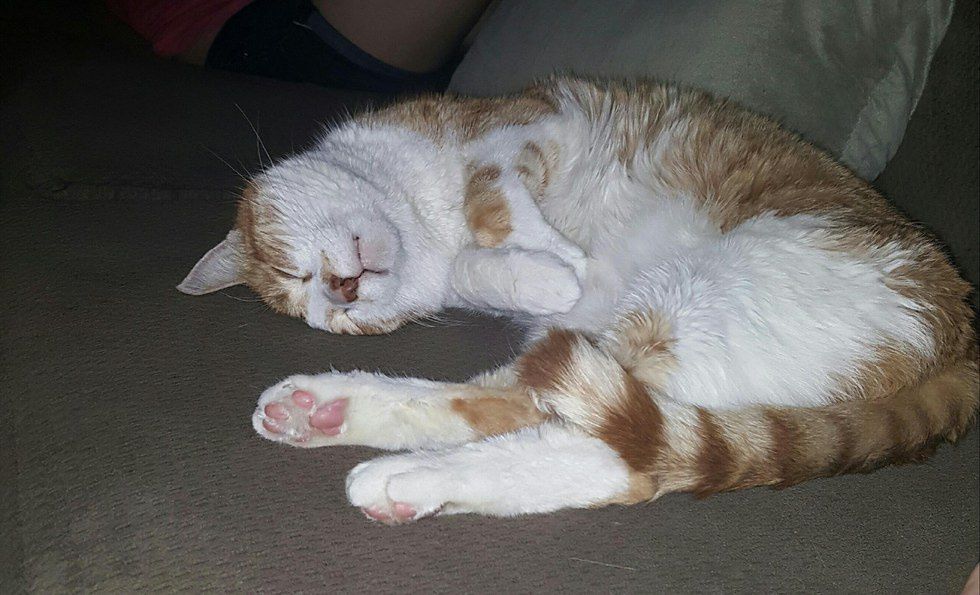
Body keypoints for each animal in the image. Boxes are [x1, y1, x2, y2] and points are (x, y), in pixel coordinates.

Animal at [179, 76, 978, 524]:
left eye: (294, 270)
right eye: (324, 312)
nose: (340, 293)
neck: (424, 221)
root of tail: (961, 328)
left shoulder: (520, 131)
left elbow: (491, 200)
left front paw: (554, 259)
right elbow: (485, 259)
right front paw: (550, 270)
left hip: (696, 300)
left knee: (604, 450)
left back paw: (399, 466)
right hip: (654, 333)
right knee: (575, 438)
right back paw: (330, 417)